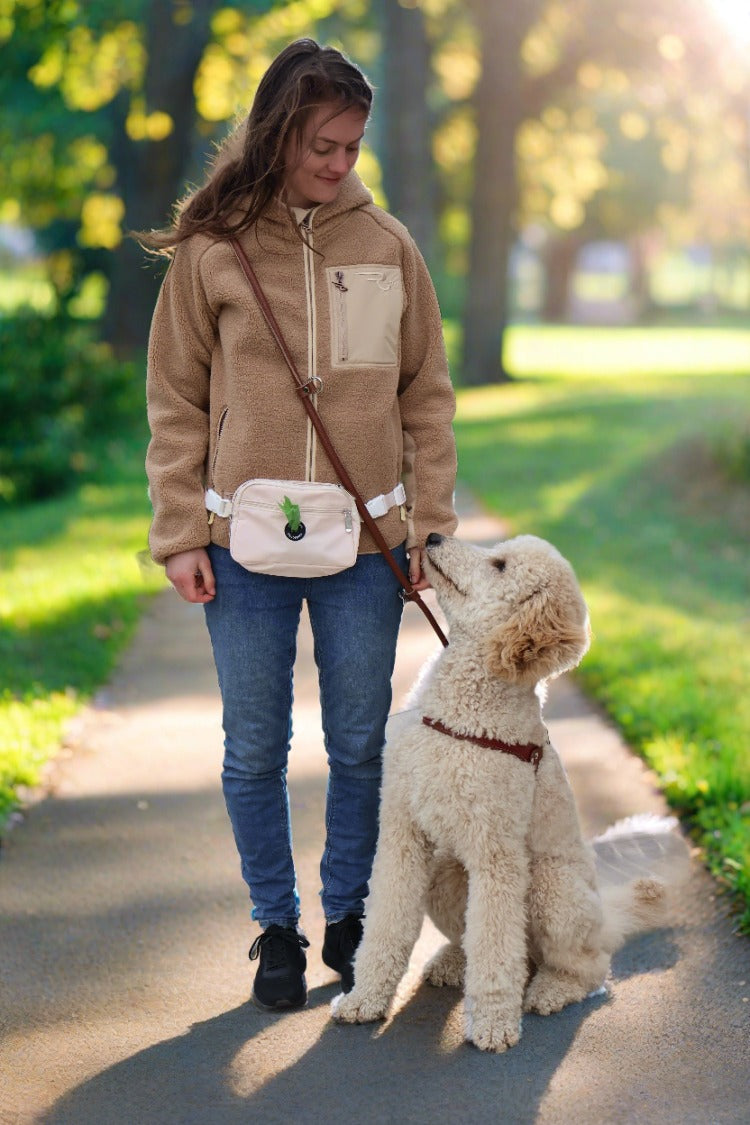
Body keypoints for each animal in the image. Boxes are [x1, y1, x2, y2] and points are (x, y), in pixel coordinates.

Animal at [330, 531, 683, 1048]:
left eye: (498, 565)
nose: (432, 535)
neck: (461, 716)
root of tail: (604, 920)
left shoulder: (496, 854)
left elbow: (495, 948)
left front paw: (494, 1024)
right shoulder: (402, 832)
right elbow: (385, 928)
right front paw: (364, 1000)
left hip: (552, 888)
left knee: (586, 967)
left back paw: (551, 989)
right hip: (444, 871)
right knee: (486, 943)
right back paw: (453, 962)